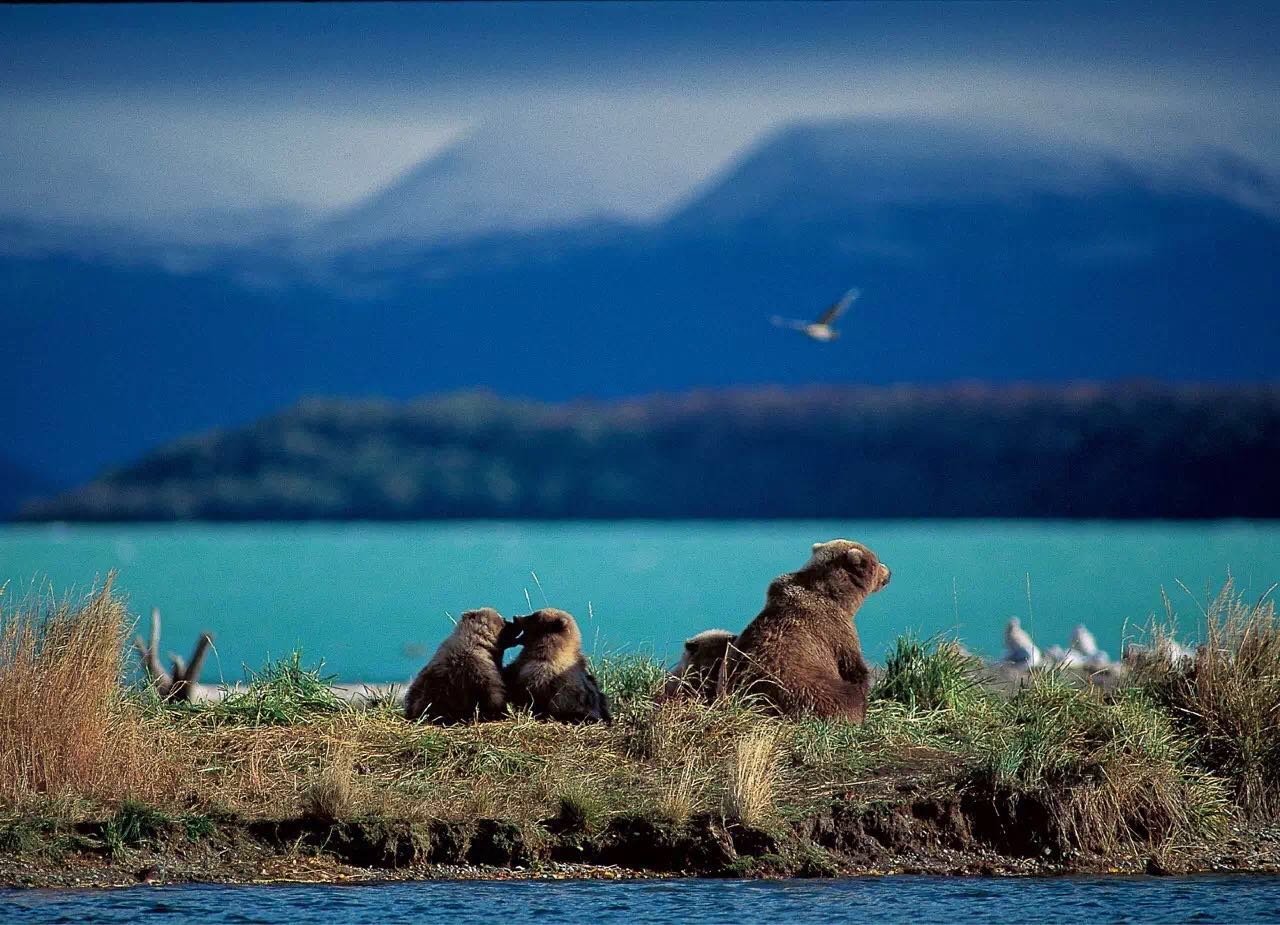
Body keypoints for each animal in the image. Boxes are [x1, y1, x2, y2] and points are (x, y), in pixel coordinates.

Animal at [727, 539, 896, 726]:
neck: (836, 595)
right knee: (844, 697)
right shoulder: (837, 630)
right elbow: (852, 667)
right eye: (876, 561)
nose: (889, 572)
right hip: (809, 691)